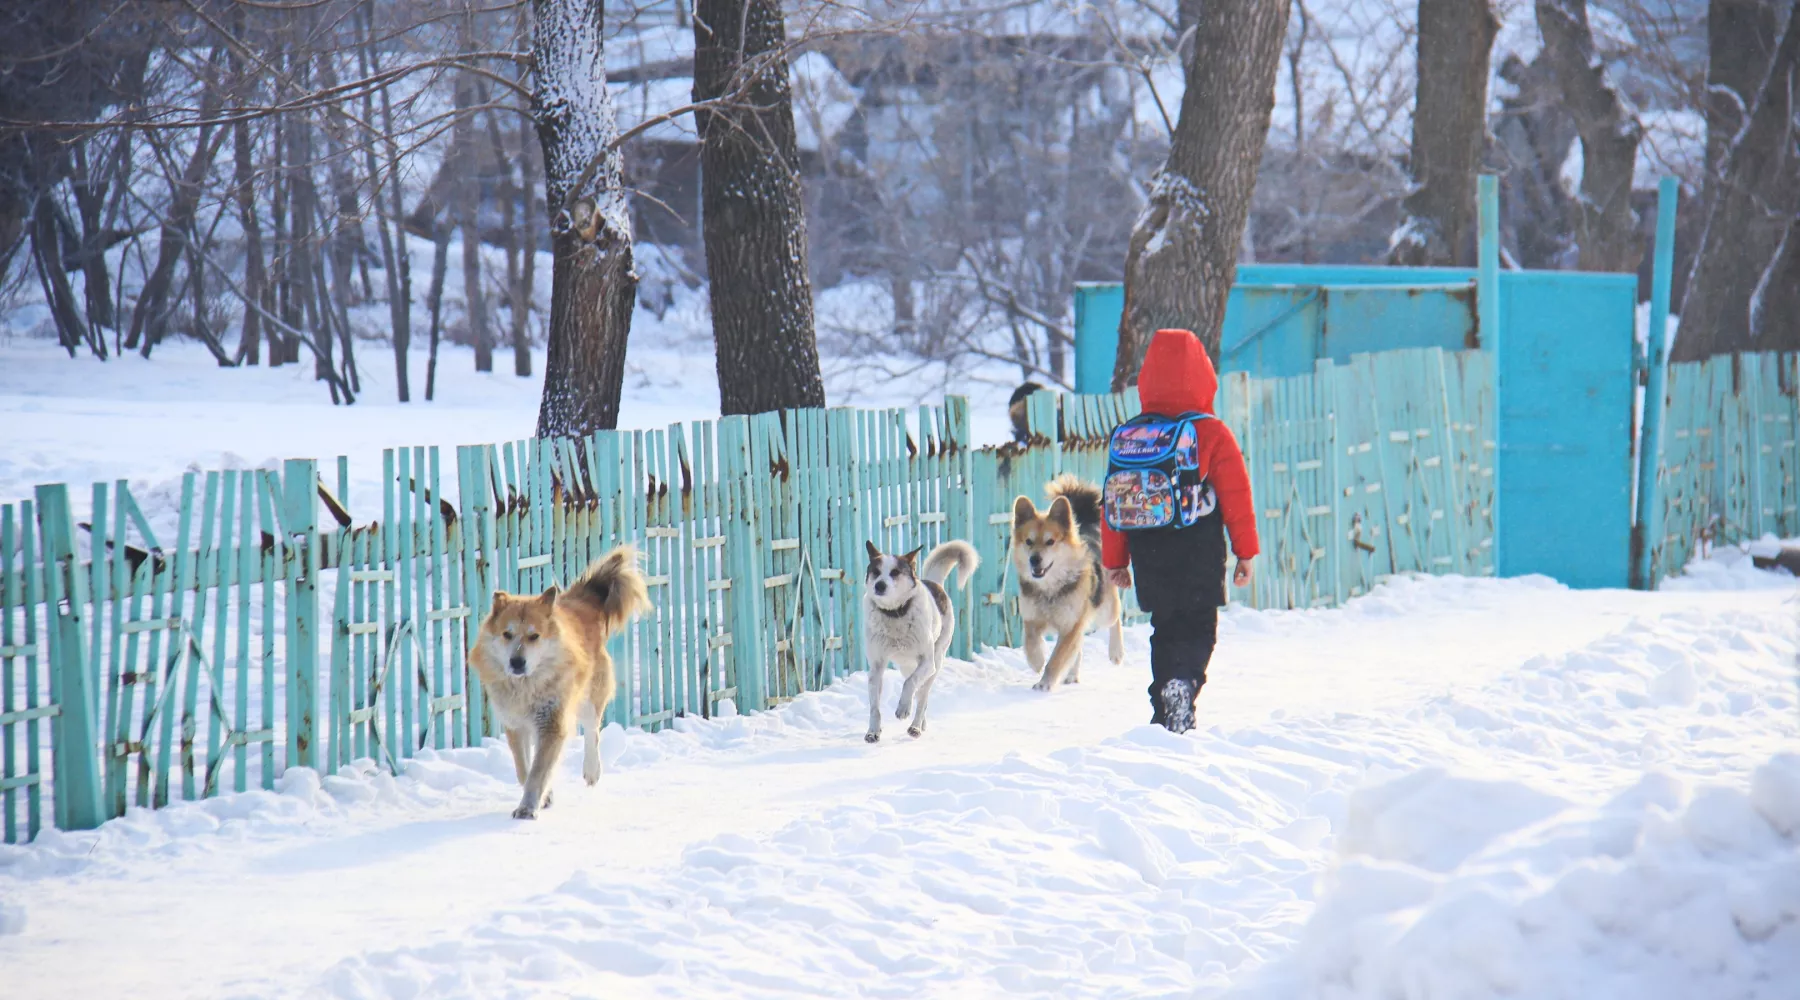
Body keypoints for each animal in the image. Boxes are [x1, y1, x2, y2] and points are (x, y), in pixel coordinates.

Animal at [471, 546, 655, 820]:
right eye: (507, 634)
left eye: (534, 636)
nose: (517, 662)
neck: (526, 687)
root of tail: (577, 604)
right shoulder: (515, 725)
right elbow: (524, 769)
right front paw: (544, 797)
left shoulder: (552, 722)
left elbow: (538, 772)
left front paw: (527, 808)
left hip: (589, 696)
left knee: (592, 730)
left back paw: (592, 770)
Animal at [860, 539, 979, 741]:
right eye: (876, 571)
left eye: (895, 572)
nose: (879, 585)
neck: (895, 613)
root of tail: (934, 582)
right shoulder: (876, 666)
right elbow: (875, 706)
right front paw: (873, 731)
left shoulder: (927, 662)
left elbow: (910, 684)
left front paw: (902, 709)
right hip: (906, 666)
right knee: (917, 689)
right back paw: (920, 723)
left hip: (935, 663)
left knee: (922, 697)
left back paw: (915, 726)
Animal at [1015, 471, 1123, 690]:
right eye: (1028, 541)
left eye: (1050, 541)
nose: (1034, 559)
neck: (1049, 589)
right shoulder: (1032, 617)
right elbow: (1030, 640)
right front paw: (1036, 660)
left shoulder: (1071, 624)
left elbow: (1057, 658)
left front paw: (1045, 683)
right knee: (1078, 648)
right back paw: (1072, 674)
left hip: (1104, 608)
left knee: (1116, 617)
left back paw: (1116, 651)